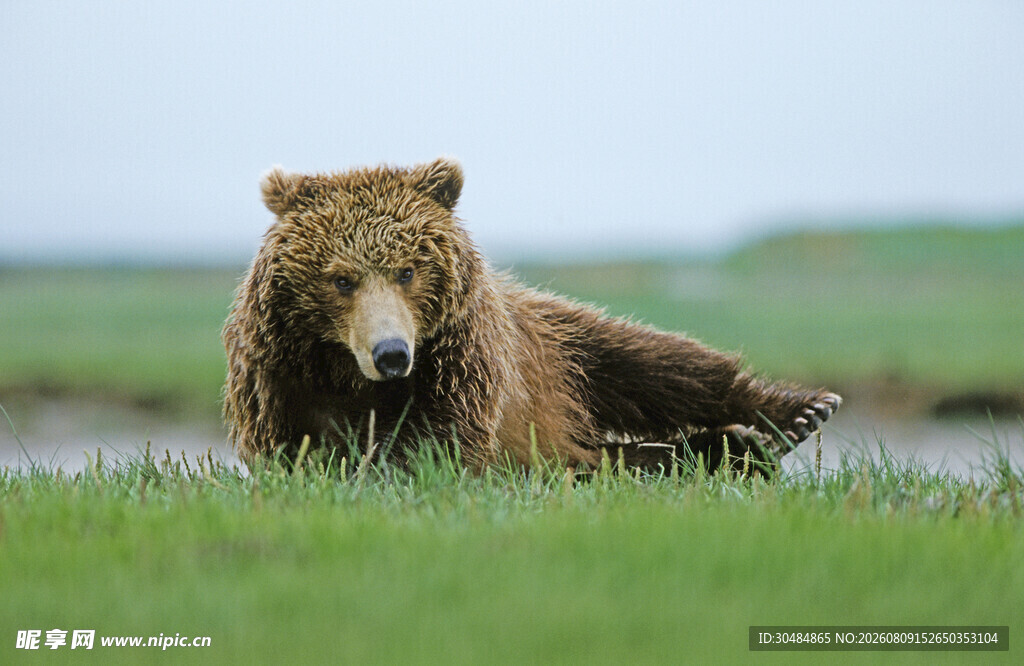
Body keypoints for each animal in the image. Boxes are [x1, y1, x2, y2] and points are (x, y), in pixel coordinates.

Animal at [222, 158, 840, 473]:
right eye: (341, 278)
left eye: (407, 271)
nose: (392, 353)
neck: (349, 373)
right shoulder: (279, 379)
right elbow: (306, 455)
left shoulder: (464, 358)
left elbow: (444, 445)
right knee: (618, 451)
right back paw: (723, 448)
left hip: (557, 344)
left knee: (655, 366)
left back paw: (793, 415)